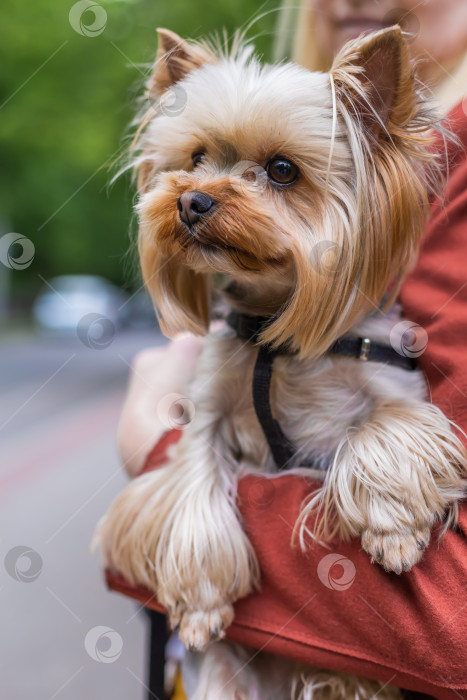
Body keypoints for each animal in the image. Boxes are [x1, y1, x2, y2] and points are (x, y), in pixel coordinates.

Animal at [97, 24, 466, 696]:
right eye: (196, 158)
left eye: (282, 170)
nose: (192, 201)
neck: (274, 335)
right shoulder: (208, 407)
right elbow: (194, 486)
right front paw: (201, 604)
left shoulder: (396, 383)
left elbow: (383, 429)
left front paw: (394, 529)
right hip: (226, 676)